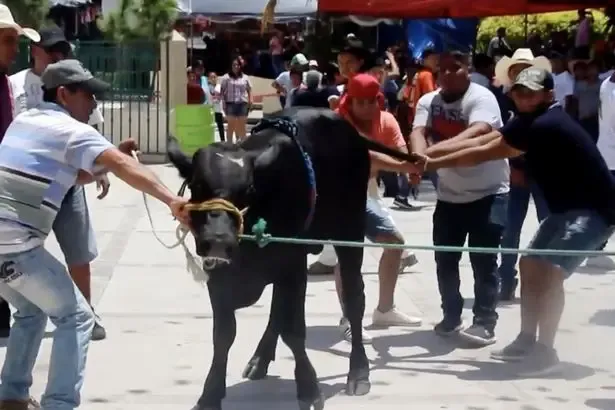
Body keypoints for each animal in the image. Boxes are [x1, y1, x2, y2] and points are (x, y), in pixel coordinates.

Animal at [166, 109, 422, 410]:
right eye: (197, 185)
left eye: (249, 189)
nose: (218, 239)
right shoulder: (219, 274)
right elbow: (224, 335)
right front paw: (210, 395)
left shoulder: (292, 265)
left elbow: (295, 331)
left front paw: (309, 389)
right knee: (279, 310)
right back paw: (260, 359)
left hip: (349, 229)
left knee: (353, 297)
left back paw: (358, 371)